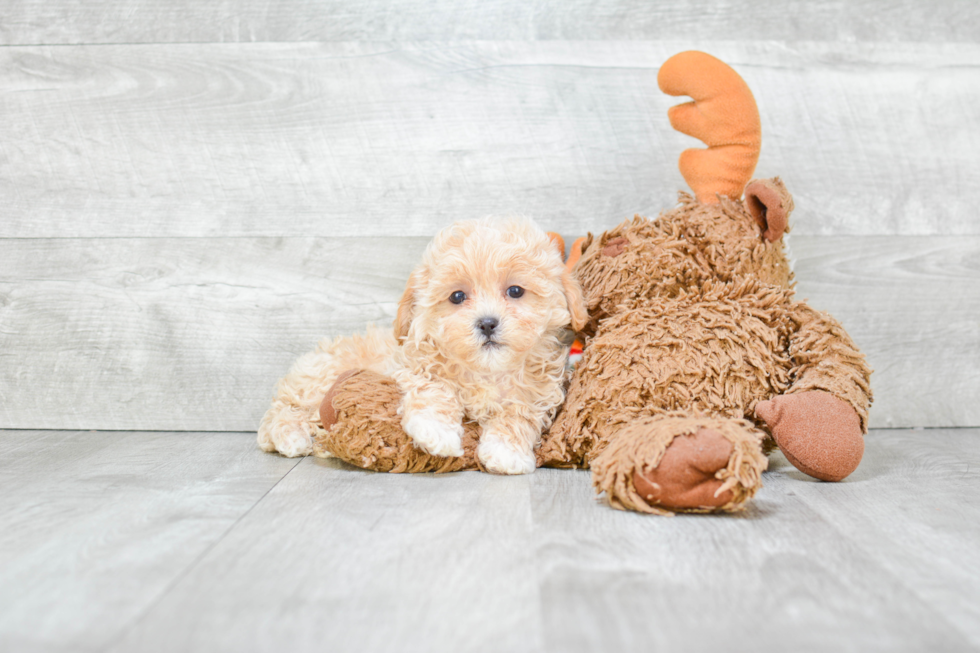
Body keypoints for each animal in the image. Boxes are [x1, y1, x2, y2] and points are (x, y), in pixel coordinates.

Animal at [256, 218, 584, 474]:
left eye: (515, 291)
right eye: (457, 296)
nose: (488, 323)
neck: (486, 370)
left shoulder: (537, 392)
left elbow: (519, 415)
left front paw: (507, 452)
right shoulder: (414, 365)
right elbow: (434, 388)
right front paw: (436, 431)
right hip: (319, 379)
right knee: (281, 411)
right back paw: (291, 437)